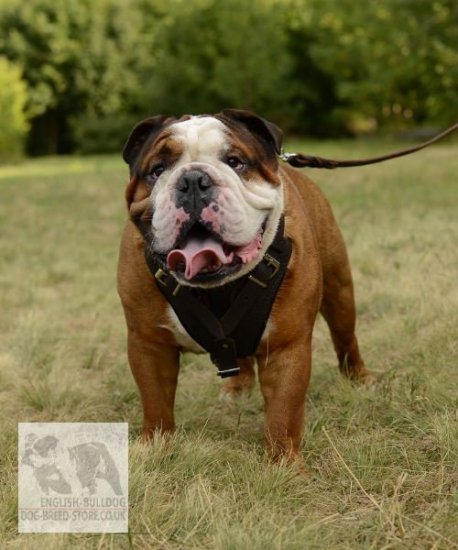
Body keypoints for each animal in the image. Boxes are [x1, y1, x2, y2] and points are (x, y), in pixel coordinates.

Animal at [118, 110, 372, 464]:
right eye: (157, 170)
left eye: (235, 161)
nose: (193, 181)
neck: (218, 288)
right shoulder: (148, 343)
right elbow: (155, 401)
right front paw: (155, 445)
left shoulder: (286, 347)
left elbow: (282, 414)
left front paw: (283, 464)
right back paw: (237, 389)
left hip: (340, 292)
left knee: (345, 338)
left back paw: (358, 378)